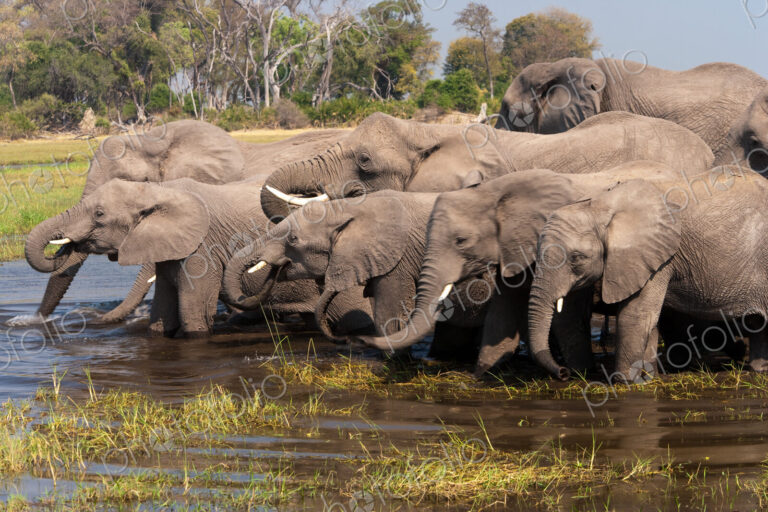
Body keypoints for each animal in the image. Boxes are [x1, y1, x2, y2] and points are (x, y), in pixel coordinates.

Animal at [355, 163, 676, 375]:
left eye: (461, 241)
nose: (360, 339)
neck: (495, 193)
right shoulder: (511, 247)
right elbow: (504, 308)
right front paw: (481, 375)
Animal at [528, 164, 768, 381]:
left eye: (577, 258)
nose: (563, 373)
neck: (599, 206)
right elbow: (648, 318)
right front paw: (648, 378)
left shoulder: (658, 257)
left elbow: (635, 314)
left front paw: (624, 381)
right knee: (759, 324)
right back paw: (759, 369)